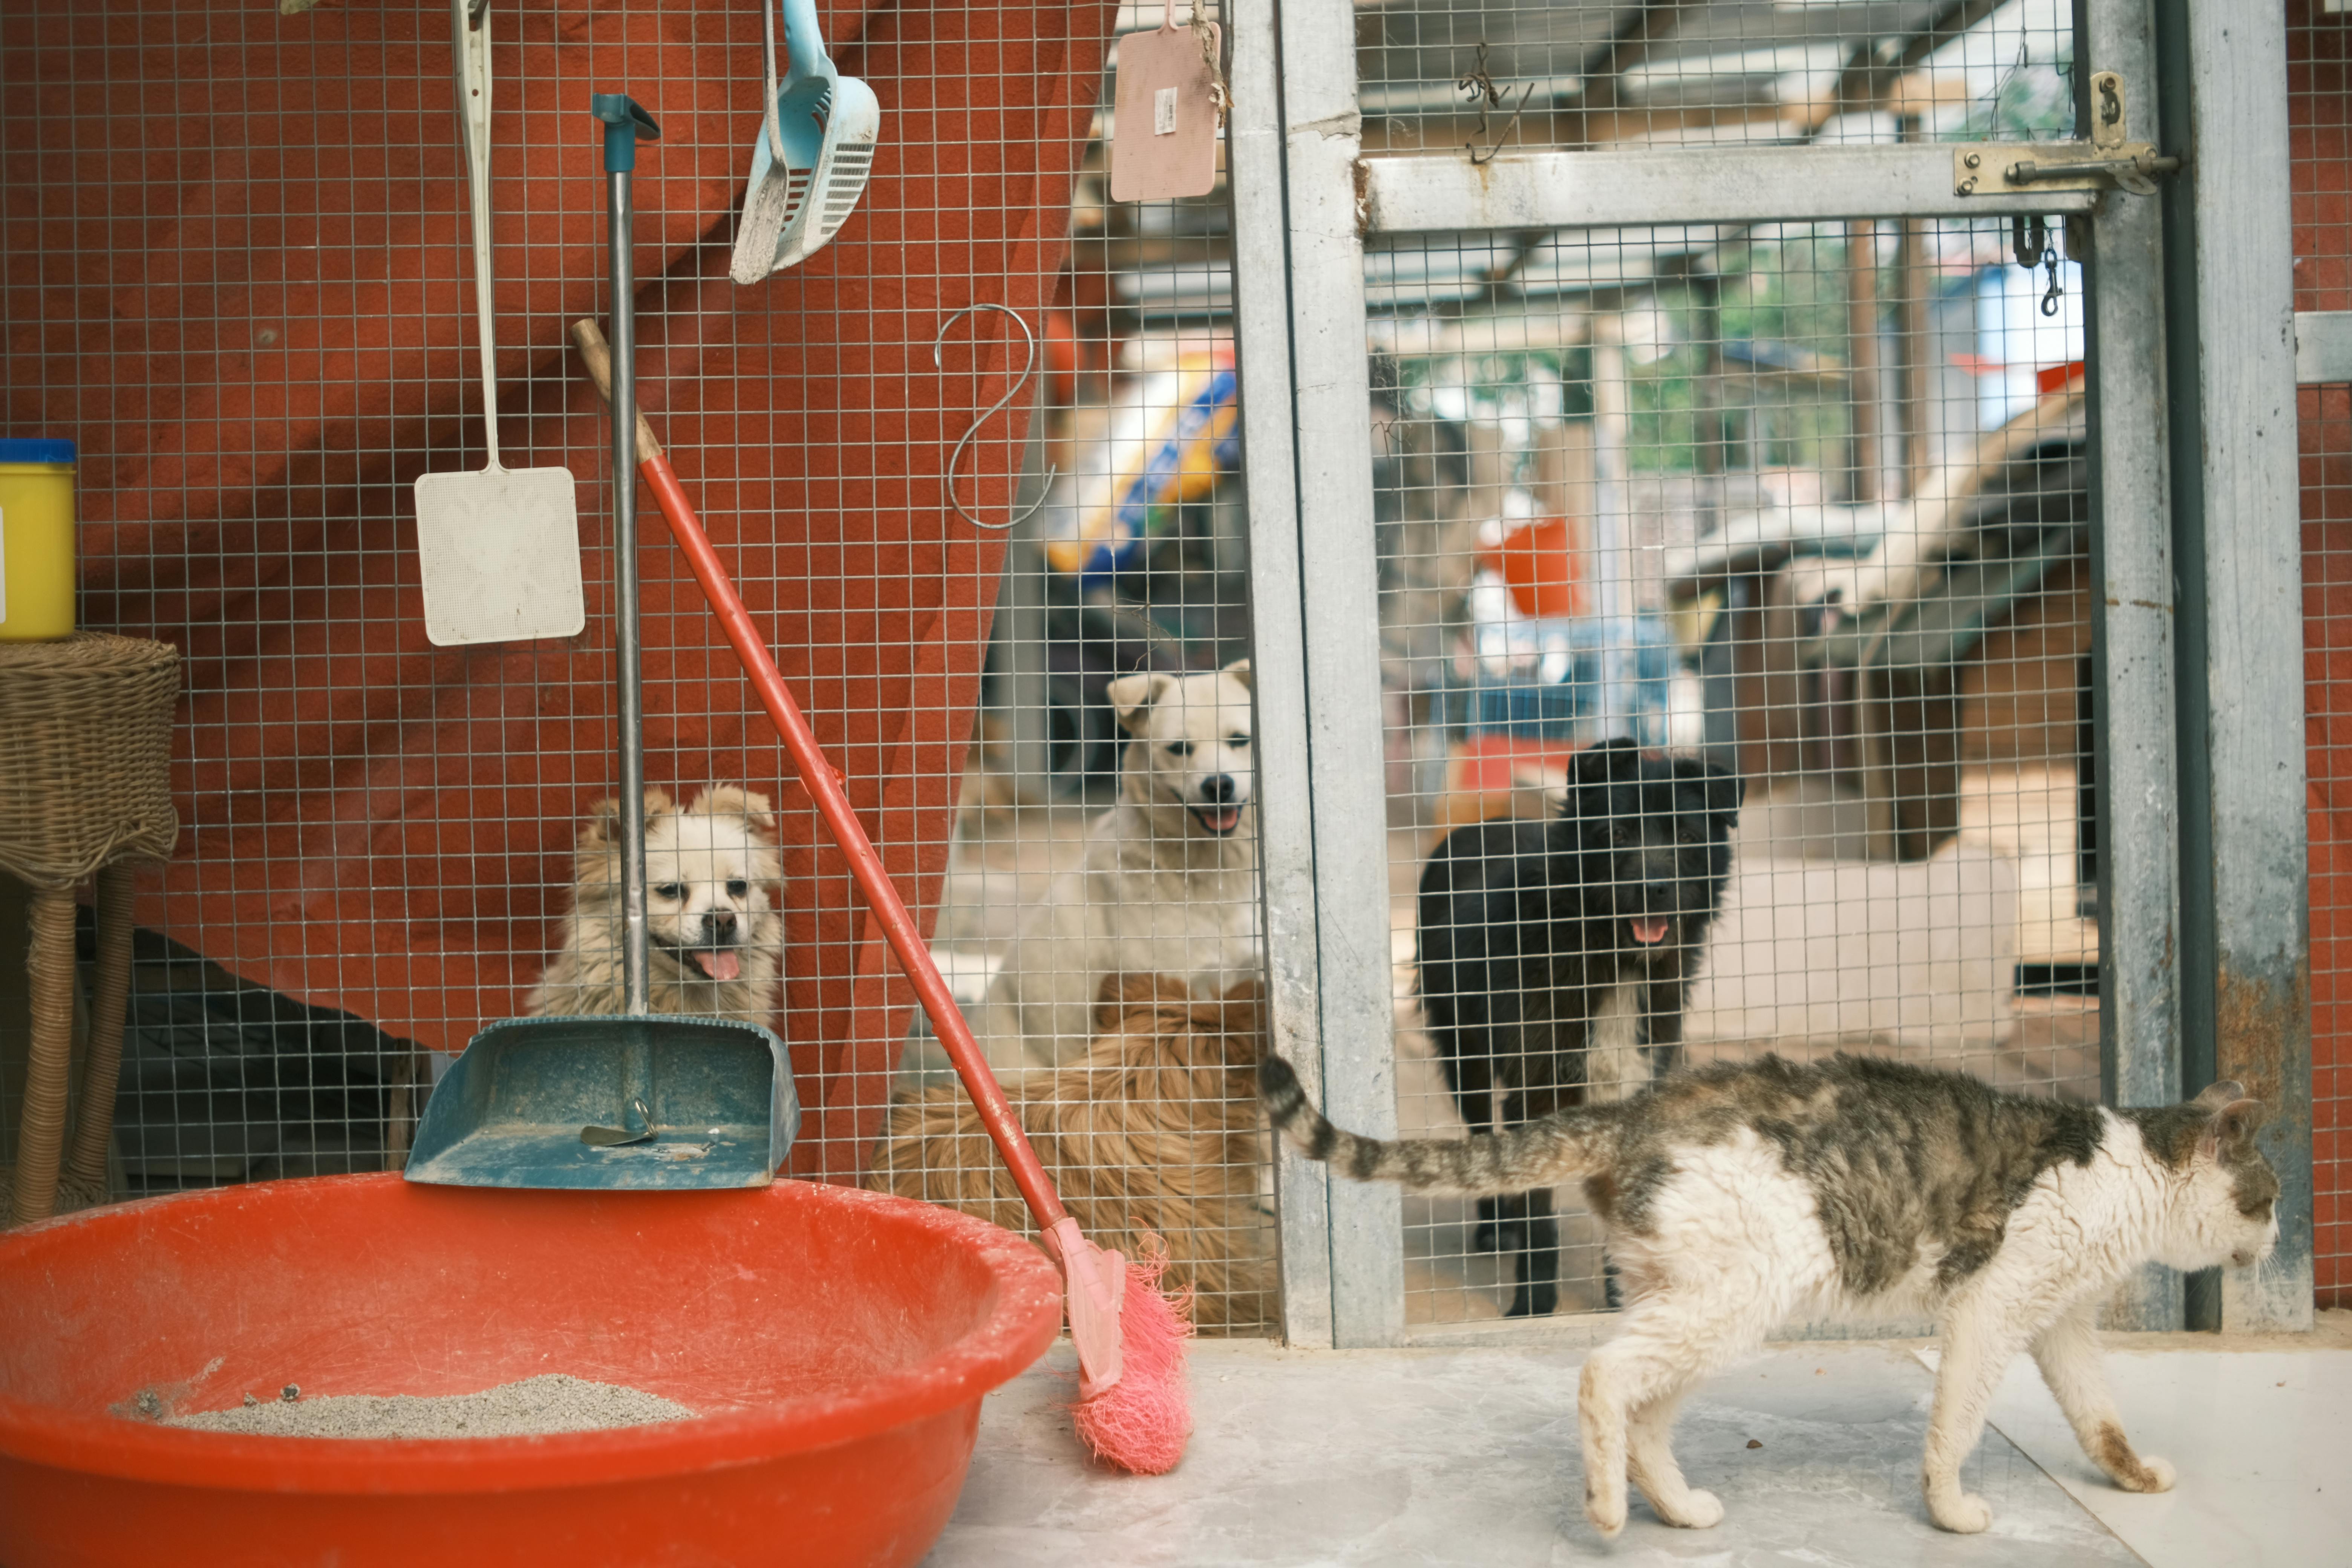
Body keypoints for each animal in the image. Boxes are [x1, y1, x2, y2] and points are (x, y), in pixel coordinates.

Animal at [1270, 1048, 2277, 1542]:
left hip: (1697, 1301)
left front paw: (2133, 1476)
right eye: (2267, 1198)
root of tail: (1636, 1111)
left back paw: (1678, 1511)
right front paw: (1951, 1513)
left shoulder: (2061, 1322)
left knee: (1641, 1414)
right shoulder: (1992, 1310)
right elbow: (1955, 1427)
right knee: (1601, 1376)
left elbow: (2098, 1415)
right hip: (1742, 1294)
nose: (2272, 1241)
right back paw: (1606, 1511)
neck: (2127, 1169)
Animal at [1411, 743, 1731, 1316]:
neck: (1613, 961)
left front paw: (1622, 1297)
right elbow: (1540, 1221)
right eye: (1617, 834)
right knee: (1481, 1137)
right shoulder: (1535, 1092)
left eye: (1689, 837)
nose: (1654, 889)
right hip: (1464, 1063)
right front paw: (1533, 1304)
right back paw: (1496, 1226)